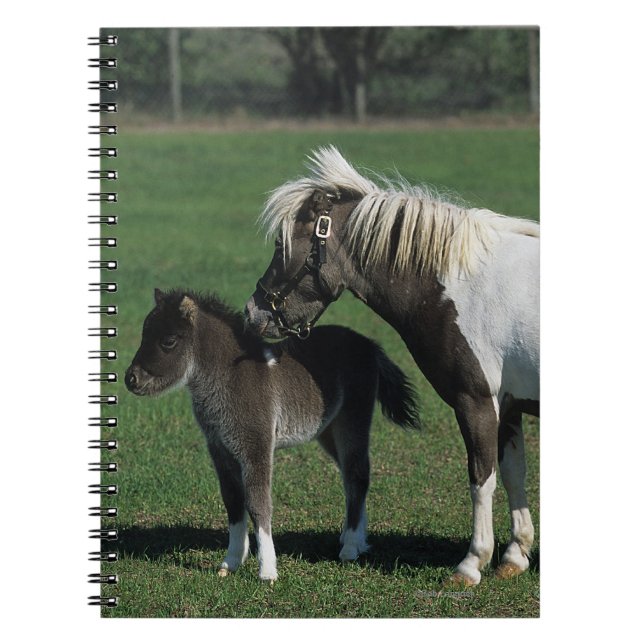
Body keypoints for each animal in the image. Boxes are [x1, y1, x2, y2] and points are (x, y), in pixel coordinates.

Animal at [125, 288, 419, 581]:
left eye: (169, 341)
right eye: (143, 333)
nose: (131, 379)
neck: (228, 377)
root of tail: (368, 344)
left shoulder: (256, 445)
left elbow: (258, 504)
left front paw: (267, 571)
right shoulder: (220, 449)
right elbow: (233, 502)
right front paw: (231, 562)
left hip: (353, 419)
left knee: (358, 475)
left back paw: (350, 548)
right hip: (327, 430)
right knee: (351, 476)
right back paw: (355, 540)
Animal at [244, 146, 540, 586]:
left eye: (284, 245)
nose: (253, 312)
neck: (460, 285)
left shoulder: (476, 401)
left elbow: (480, 479)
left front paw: (471, 563)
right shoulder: (508, 406)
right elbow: (513, 473)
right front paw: (514, 556)